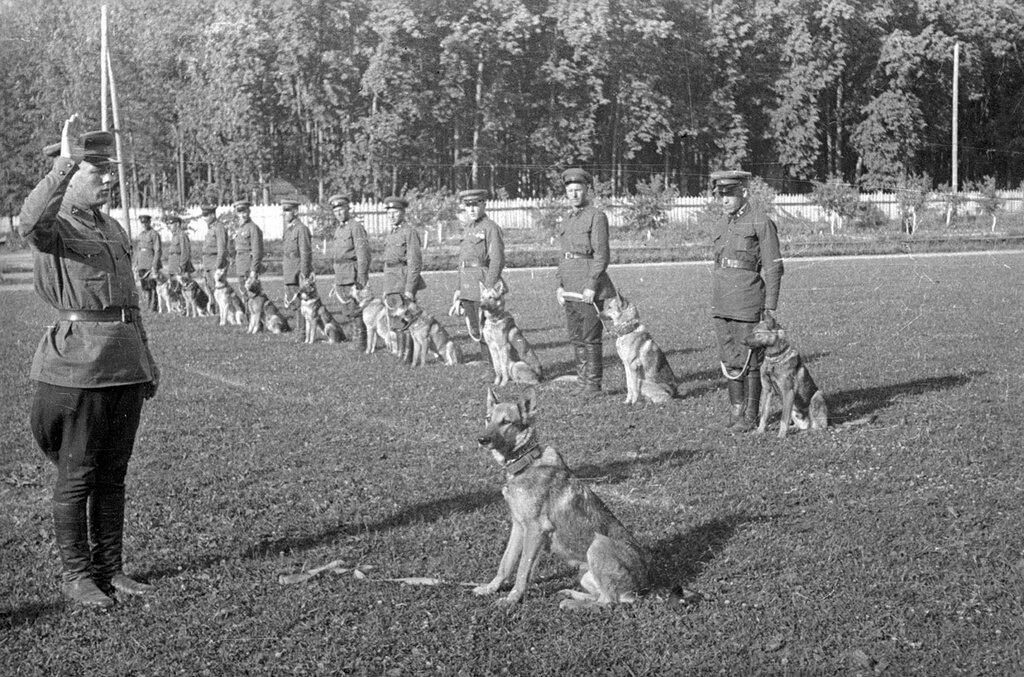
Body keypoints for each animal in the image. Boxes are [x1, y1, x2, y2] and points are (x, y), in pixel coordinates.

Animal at [475, 387, 651, 610]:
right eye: (488, 419)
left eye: (506, 422)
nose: (481, 439)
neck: (525, 463)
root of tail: (643, 588)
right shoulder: (518, 526)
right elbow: (505, 564)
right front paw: (491, 588)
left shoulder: (535, 530)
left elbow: (522, 571)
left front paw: (511, 600)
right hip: (584, 573)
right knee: (599, 597)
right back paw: (570, 594)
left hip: (597, 545)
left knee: (609, 602)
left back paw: (571, 603)